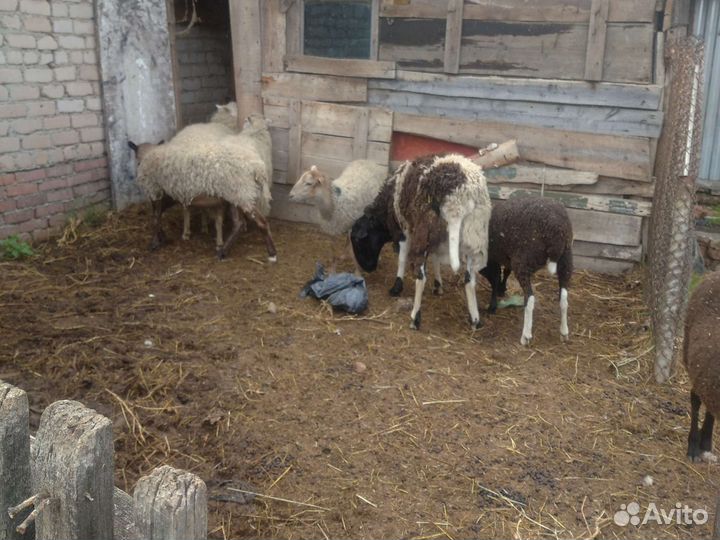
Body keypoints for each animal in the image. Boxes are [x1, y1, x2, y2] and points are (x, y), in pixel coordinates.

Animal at [136, 108, 276, 261]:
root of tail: (256, 166)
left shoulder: (156, 190)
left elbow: (155, 218)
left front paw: (155, 241)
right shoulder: (167, 193)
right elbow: (158, 216)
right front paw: (162, 237)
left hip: (242, 194)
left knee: (261, 222)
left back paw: (271, 253)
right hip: (238, 195)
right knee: (239, 224)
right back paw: (223, 250)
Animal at [352, 153, 492, 330]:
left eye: (358, 241)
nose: (368, 269)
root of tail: (459, 193)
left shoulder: (404, 230)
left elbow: (402, 258)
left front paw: (397, 287)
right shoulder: (435, 238)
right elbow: (436, 259)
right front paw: (438, 285)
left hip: (424, 230)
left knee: (421, 276)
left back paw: (415, 318)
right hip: (474, 238)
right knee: (469, 280)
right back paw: (475, 320)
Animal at [479, 196, 573, 345]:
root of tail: (556, 230)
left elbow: (497, 275)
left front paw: (495, 299)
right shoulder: (508, 256)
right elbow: (506, 271)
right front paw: (502, 289)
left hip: (523, 261)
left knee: (530, 299)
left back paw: (526, 336)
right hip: (566, 259)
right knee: (564, 298)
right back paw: (564, 332)